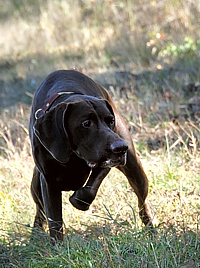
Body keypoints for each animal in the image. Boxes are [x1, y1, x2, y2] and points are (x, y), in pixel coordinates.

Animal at [28, 70, 153, 242]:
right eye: (86, 123)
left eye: (110, 120)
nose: (121, 148)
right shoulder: (48, 181)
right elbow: (54, 220)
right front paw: (57, 247)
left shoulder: (105, 162)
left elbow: (89, 189)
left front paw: (78, 200)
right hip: (35, 185)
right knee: (39, 209)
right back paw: (36, 233)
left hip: (135, 170)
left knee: (142, 202)